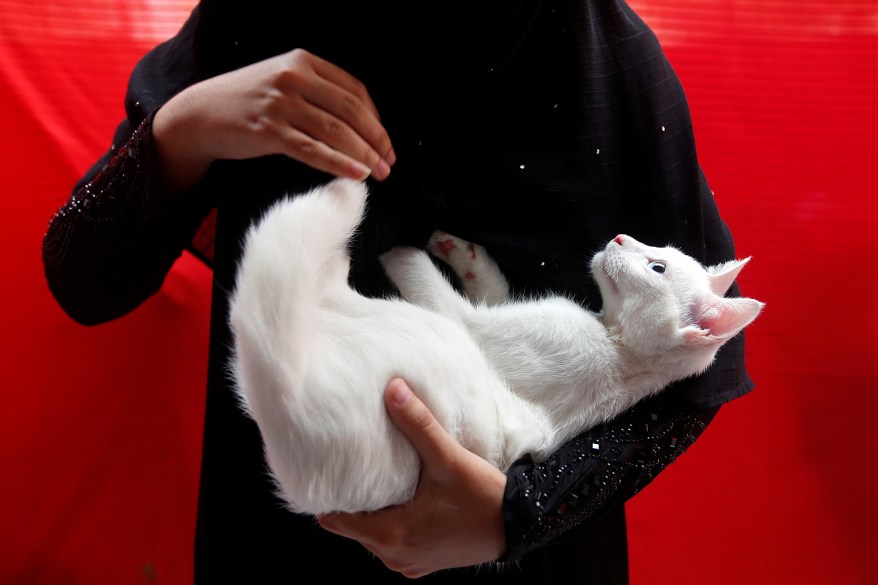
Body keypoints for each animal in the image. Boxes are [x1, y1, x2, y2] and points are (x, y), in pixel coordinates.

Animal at [227, 179, 764, 516]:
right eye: (659, 252)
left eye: (657, 268)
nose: (618, 236)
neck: (615, 342)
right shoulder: (496, 310)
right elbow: (490, 285)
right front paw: (462, 253)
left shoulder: (478, 327)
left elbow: (434, 287)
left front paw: (405, 252)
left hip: (416, 332)